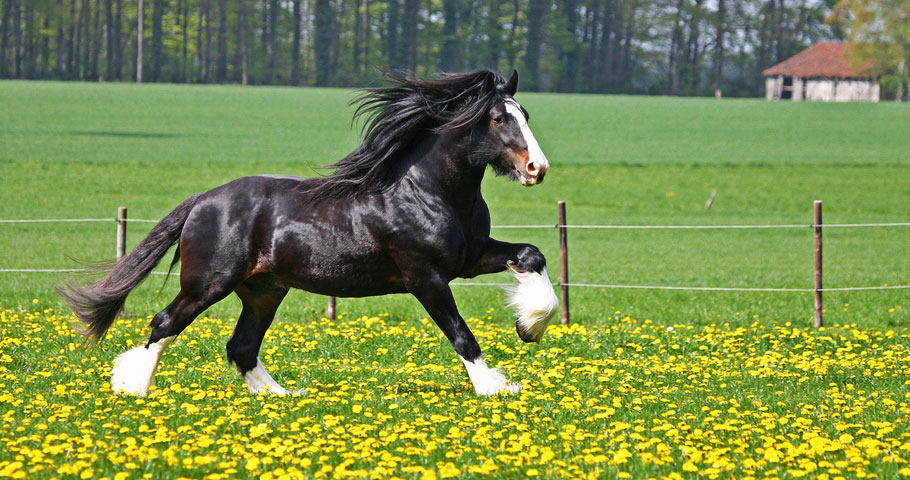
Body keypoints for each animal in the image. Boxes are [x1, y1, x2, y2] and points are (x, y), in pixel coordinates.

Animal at [58, 69, 558, 397]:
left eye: (526, 113)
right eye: (498, 118)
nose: (537, 168)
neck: (428, 190)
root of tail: (202, 199)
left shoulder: (469, 259)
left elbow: (531, 255)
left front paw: (529, 326)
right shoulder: (425, 277)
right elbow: (460, 333)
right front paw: (494, 386)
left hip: (264, 290)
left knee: (241, 345)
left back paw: (281, 396)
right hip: (207, 284)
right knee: (164, 324)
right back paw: (131, 386)